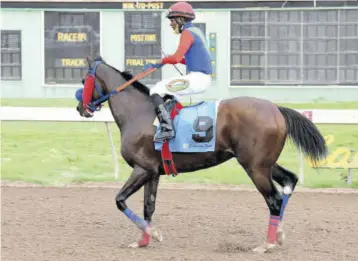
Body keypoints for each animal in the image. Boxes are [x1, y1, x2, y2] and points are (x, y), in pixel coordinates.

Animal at [75, 56, 328, 252]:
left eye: (84, 80)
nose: (80, 108)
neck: (139, 114)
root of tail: (276, 109)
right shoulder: (153, 172)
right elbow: (148, 206)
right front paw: (143, 240)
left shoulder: (142, 168)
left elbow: (119, 200)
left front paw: (154, 234)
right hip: (265, 163)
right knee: (289, 180)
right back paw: (280, 234)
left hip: (255, 167)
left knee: (274, 199)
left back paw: (267, 244)